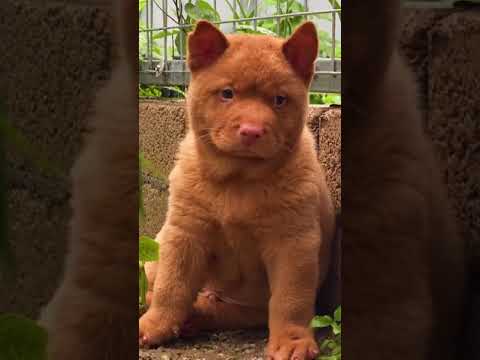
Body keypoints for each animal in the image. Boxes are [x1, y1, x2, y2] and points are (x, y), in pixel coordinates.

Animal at [139, 21, 334, 358]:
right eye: (227, 94)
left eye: (279, 99)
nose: (252, 131)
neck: (237, 183)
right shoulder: (185, 235)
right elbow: (171, 287)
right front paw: (154, 325)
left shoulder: (293, 244)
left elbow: (291, 300)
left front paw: (292, 341)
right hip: (158, 250)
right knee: (155, 284)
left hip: (240, 310)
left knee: (213, 309)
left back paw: (194, 318)